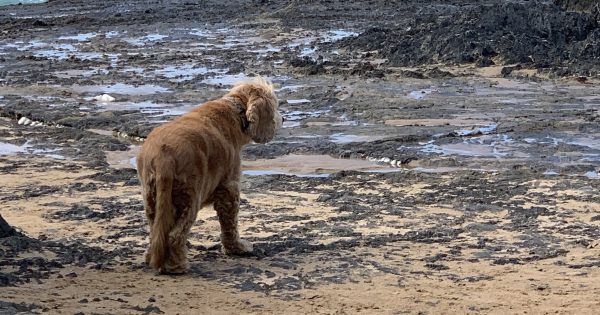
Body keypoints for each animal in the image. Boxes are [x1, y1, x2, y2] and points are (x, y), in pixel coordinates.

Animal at [137, 77, 282, 274]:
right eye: (275, 106)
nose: (283, 118)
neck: (235, 109)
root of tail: (164, 157)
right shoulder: (229, 187)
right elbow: (230, 223)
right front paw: (238, 248)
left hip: (152, 196)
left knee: (156, 231)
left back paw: (152, 258)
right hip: (190, 196)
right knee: (175, 234)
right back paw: (177, 266)